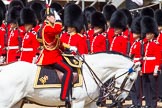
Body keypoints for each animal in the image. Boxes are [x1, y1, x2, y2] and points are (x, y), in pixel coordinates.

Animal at [0, 52, 140, 107]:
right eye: (131, 79)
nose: (121, 99)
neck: (90, 73)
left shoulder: (90, 103)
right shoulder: (78, 102)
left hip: (16, 102)